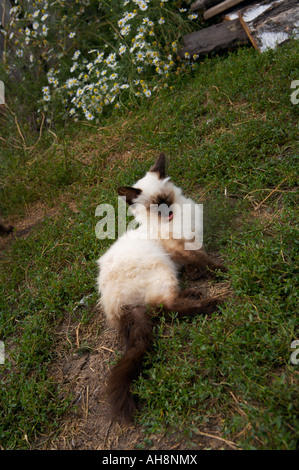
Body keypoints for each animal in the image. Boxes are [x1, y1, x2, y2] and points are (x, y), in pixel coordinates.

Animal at [97, 153, 226, 422]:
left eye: (166, 200)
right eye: (155, 207)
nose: (167, 213)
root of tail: (114, 305)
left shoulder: (188, 246)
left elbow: (197, 264)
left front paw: (195, 274)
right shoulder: (181, 248)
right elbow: (206, 261)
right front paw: (223, 270)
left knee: (164, 306)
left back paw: (195, 292)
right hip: (162, 268)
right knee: (165, 308)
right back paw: (210, 303)